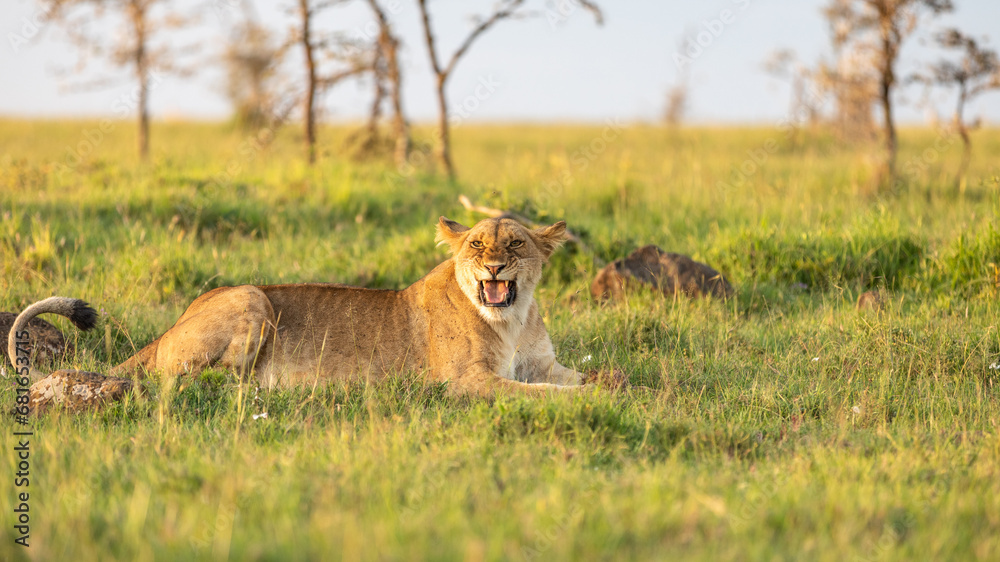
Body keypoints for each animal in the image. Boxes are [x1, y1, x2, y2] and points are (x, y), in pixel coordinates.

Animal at [9, 217, 590, 398]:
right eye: (475, 245)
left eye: (515, 244)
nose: (493, 268)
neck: (512, 318)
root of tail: (173, 324)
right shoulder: (467, 382)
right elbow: (537, 395)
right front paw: (582, 401)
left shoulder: (545, 363)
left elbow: (583, 378)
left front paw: (607, 388)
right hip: (251, 298)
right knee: (198, 382)